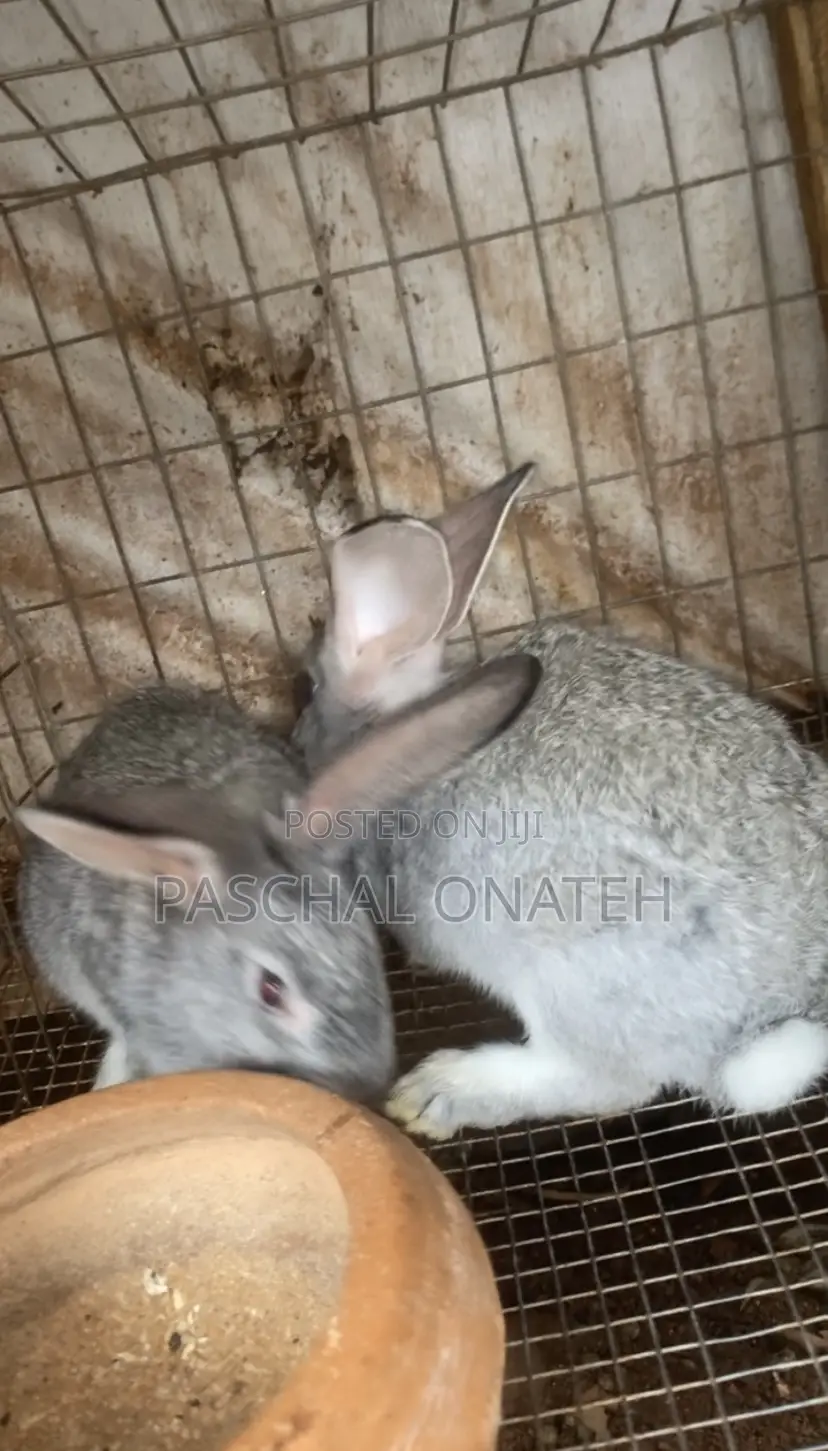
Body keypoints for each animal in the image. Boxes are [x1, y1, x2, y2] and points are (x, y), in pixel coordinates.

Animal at [292, 464, 828, 1140]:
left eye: (306, 686)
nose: (293, 740)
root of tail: (787, 1002)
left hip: (570, 971)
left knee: (609, 1082)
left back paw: (440, 1092)